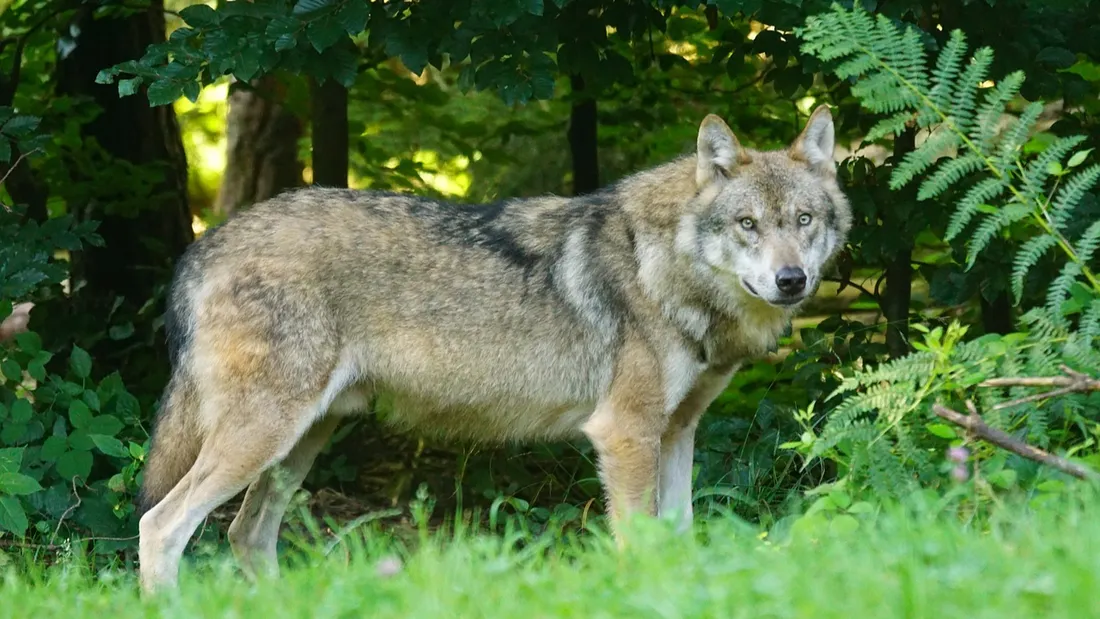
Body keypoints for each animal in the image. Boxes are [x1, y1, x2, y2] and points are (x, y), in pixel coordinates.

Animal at [136, 104, 851, 592]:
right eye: (747, 225)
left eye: (803, 221)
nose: (792, 280)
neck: (664, 267)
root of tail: (205, 244)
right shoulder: (625, 434)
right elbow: (640, 546)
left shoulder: (676, 433)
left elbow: (679, 540)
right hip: (264, 437)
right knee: (161, 526)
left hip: (300, 443)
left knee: (245, 534)